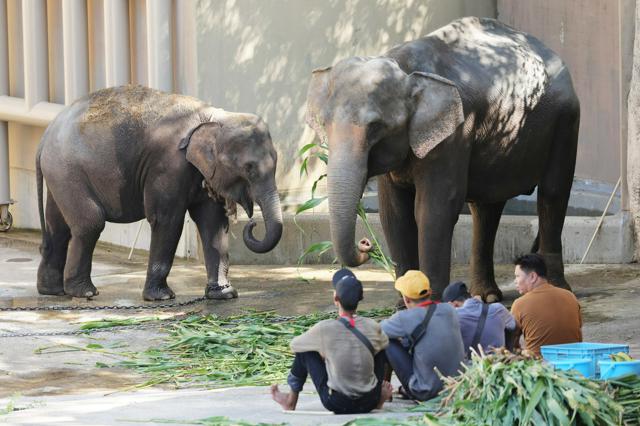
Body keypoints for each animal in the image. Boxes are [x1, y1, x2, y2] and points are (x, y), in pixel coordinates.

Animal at [36, 85, 282, 300]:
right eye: (249, 168)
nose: (253, 223)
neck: (214, 116)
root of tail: (45, 136)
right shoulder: (168, 165)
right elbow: (167, 220)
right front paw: (161, 297)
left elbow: (213, 223)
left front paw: (225, 294)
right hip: (69, 171)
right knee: (90, 223)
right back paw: (84, 292)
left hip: (60, 174)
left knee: (58, 227)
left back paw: (52, 291)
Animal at [304, 17, 580, 302]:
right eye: (324, 124)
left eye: (376, 127)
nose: (365, 244)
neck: (404, 67)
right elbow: (394, 213)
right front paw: (404, 304)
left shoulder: (456, 134)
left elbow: (434, 208)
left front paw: (430, 301)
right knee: (486, 208)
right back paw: (486, 296)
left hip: (566, 121)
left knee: (553, 192)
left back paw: (558, 289)